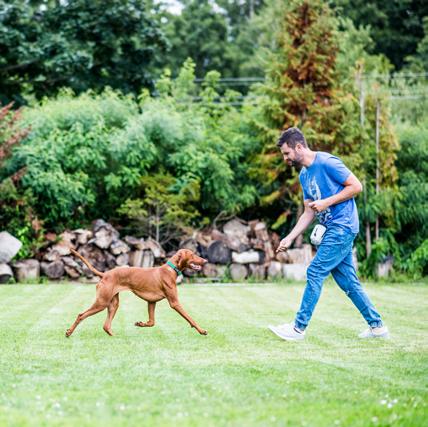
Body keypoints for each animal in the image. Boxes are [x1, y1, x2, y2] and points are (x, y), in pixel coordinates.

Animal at [64, 251, 208, 338]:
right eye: (193, 254)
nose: (205, 260)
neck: (171, 269)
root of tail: (105, 274)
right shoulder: (175, 303)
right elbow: (190, 318)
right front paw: (201, 330)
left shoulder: (151, 302)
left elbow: (152, 322)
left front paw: (140, 324)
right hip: (102, 302)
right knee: (81, 315)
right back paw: (69, 332)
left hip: (113, 304)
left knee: (106, 326)